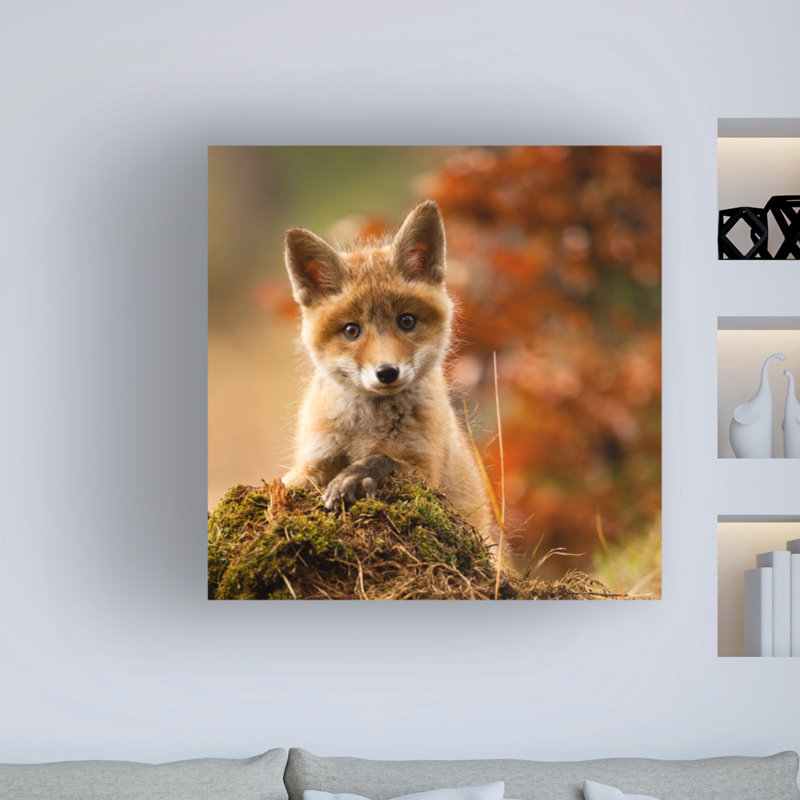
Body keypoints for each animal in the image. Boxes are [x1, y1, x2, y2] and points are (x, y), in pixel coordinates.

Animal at [281, 200, 494, 549]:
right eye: (351, 330)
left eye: (406, 321)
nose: (387, 372)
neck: (366, 428)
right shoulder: (313, 460)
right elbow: (285, 483)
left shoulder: (427, 473)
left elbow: (384, 460)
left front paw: (354, 477)